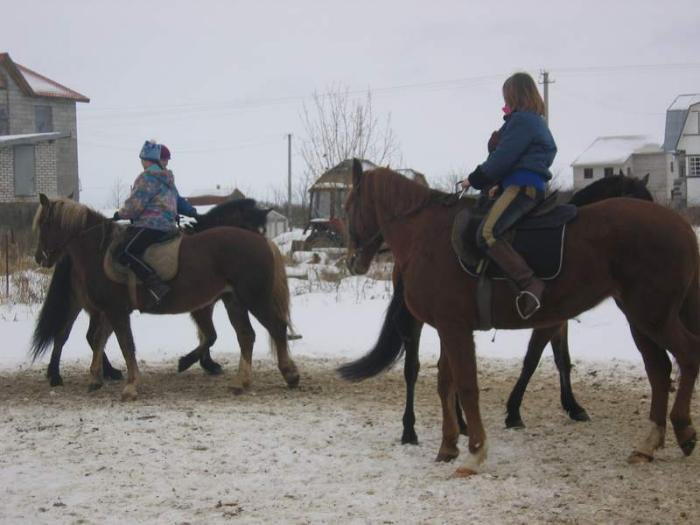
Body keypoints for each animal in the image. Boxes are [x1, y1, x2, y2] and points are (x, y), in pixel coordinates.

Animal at [34, 194, 300, 400]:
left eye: (44, 224)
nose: (39, 257)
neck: (101, 250)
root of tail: (262, 244)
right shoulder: (112, 310)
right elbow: (102, 340)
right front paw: (96, 378)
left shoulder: (117, 310)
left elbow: (126, 344)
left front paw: (131, 386)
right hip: (234, 301)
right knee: (247, 336)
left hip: (253, 298)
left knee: (275, 328)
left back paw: (289, 374)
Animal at [338, 159, 696, 474]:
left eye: (348, 206)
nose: (352, 259)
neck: (426, 236)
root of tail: (682, 227)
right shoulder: (449, 326)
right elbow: (448, 382)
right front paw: (450, 445)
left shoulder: (457, 327)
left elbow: (469, 383)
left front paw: (475, 452)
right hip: (642, 318)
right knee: (659, 370)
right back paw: (649, 443)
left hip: (652, 316)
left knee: (685, 357)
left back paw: (681, 429)